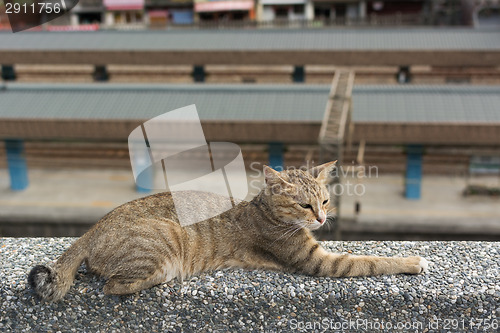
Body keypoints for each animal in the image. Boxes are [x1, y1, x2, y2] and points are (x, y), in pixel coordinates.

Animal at [27, 161, 428, 300]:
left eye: (325, 202)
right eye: (304, 205)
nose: (320, 219)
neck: (266, 211)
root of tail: (92, 230)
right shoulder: (319, 261)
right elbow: (370, 260)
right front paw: (413, 261)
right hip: (164, 244)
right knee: (114, 286)